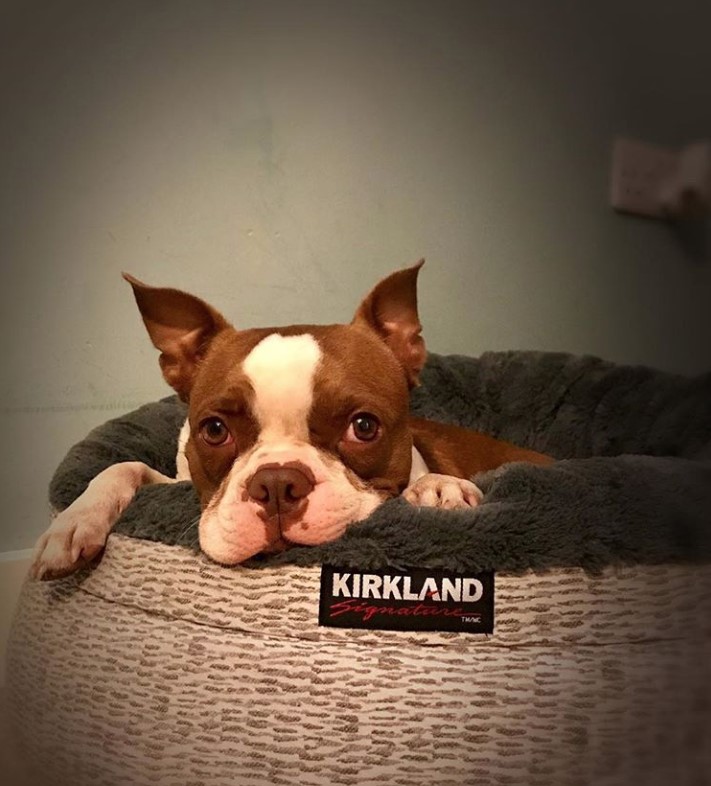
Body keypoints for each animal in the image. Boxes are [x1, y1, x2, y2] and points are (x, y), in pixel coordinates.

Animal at [30, 262, 552, 576]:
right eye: (214, 430)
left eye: (364, 427)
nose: (277, 483)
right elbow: (123, 467)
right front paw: (74, 522)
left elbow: (425, 481)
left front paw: (437, 488)